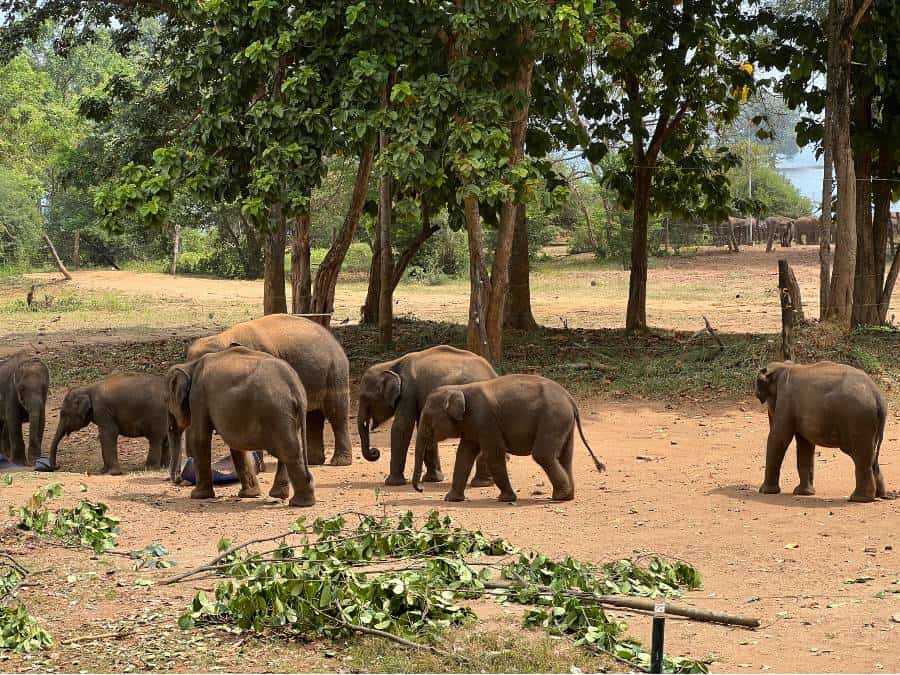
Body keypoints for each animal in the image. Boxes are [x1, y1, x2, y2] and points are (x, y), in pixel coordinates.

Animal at [166, 346, 315, 507]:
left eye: (167, 402)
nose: (179, 480)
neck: (190, 365)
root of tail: (295, 385)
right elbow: (236, 446)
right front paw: (249, 495)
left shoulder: (198, 395)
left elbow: (200, 438)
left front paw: (197, 496)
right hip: (288, 414)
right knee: (290, 448)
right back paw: (282, 496)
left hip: (276, 411)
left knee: (288, 450)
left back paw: (300, 503)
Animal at [186, 314, 351, 468]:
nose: (190, 459)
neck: (224, 336)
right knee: (313, 416)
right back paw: (312, 461)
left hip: (336, 371)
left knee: (336, 412)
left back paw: (339, 462)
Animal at [358, 345, 496, 487]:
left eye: (365, 398)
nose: (375, 452)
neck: (391, 364)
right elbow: (424, 428)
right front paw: (433, 479)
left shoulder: (408, 392)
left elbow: (402, 426)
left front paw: (392, 483)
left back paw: (481, 483)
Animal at [411, 374, 606, 503]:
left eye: (427, 419)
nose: (420, 489)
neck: (459, 389)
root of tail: (570, 399)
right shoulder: (473, 426)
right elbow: (463, 456)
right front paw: (451, 499)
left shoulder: (486, 421)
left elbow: (494, 455)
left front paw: (505, 499)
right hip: (564, 424)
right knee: (565, 457)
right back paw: (566, 496)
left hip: (552, 419)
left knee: (543, 455)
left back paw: (560, 496)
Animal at [755, 361, 889, 502]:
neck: (784, 366)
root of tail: (877, 396)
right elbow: (805, 444)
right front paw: (804, 493)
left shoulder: (786, 401)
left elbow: (779, 438)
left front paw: (765, 491)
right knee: (871, 457)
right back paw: (878, 495)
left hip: (858, 419)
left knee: (861, 456)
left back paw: (859, 498)